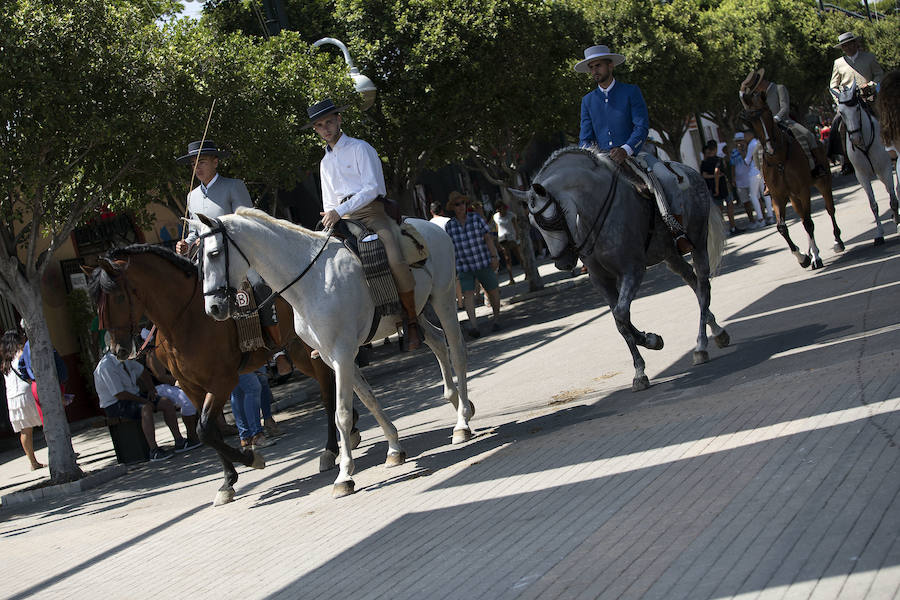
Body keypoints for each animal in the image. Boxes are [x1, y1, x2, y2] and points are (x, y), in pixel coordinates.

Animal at [84, 244, 352, 506]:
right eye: (96, 305)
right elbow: (209, 432)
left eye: (118, 297)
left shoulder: (222, 382)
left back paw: (330, 450)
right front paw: (227, 482)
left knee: (327, 394)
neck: (186, 318)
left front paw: (252, 458)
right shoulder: (191, 387)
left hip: (311, 348)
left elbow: (203, 429)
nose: (118, 350)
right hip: (298, 352)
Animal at [189, 209, 472, 500]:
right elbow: (368, 400)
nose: (213, 308)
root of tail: (432, 226)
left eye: (214, 254)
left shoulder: (343, 353)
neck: (313, 281)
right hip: (416, 313)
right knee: (437, 342)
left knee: (457, 351)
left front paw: (344, 476)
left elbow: (342, 414)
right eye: (197, 259)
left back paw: (462, 422)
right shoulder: (330, 356)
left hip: (444, 298)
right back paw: (456, 402)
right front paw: (394, 449)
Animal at [524, 148, 728, 392]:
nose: (562, 263)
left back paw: (701, 345)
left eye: (551, 220)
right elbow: (619, 322)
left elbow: (621, 315)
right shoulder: (601, 280)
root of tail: (690, 171)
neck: (596, 212)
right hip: (670, 256)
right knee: (694, 283)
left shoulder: (633, 270)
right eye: (533, 225)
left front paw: (650, 341)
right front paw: (641, 366)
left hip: (697, 240)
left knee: (704, 286)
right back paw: (717, 330)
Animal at [740, 86, 844, 270]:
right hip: (793, 197)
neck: (779, 160)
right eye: (751, 120)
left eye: (768, 114)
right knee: (802, 217)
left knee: (829, 209)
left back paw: (837, 241)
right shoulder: (778, 196)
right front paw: (803, 257)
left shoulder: (803, 190)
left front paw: (815, 257)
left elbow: (809, 223)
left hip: (823, 182)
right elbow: (782, 227)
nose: (770, 147)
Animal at [832, 81, 896, 245]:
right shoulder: (862, 176)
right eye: (841, 112)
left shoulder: (885, 168)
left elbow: (892, 198)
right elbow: (873, 205)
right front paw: (879, 234)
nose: (855, 139)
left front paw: (897, 220)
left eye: (856, 108)